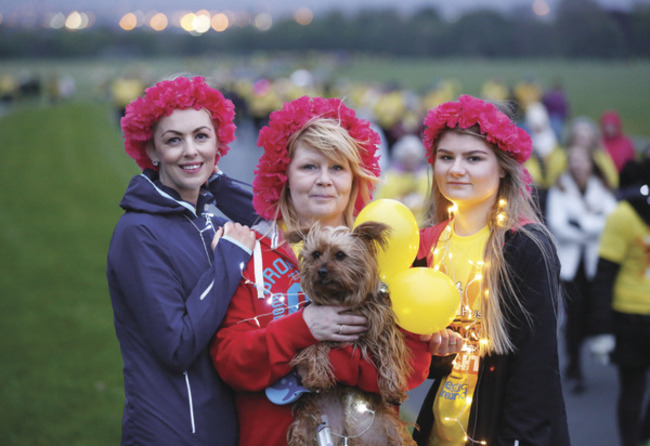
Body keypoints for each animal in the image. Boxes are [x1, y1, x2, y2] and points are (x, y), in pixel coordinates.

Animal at [284, 223, 416, 446]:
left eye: (340, 255)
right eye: (316, 254)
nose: (321, 271)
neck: (341, 297)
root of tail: (347, 433)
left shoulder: (383, 328)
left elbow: (390, 357)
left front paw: (393, 389)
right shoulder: (318, 323)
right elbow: (314, 349)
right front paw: (317, 376)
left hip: (392, 431)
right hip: (309, 426)